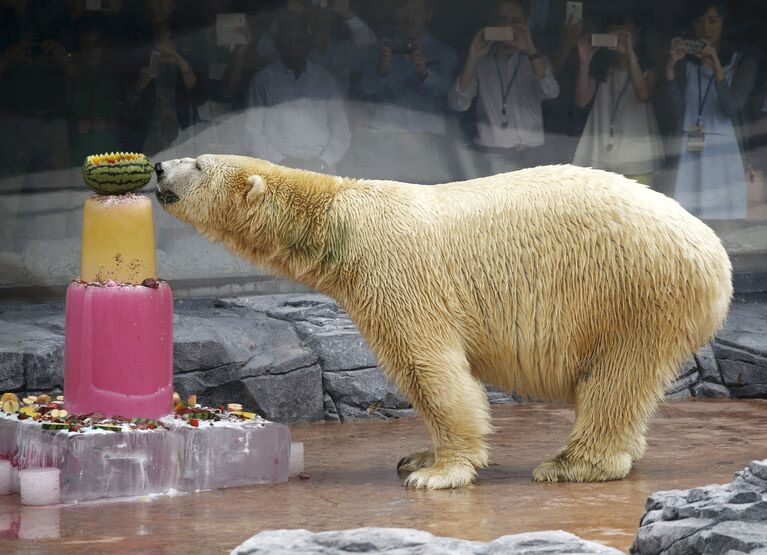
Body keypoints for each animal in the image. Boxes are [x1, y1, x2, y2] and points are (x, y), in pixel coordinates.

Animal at [154, 156, 732, 490]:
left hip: (631, 291)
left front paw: (437, 472)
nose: (158, 166)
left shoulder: (395, 274)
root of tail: (714, 253)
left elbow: (430, 367)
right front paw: (417, 456)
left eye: (199, 164)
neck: (340, 216)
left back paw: (570, 464)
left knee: (613, 378)